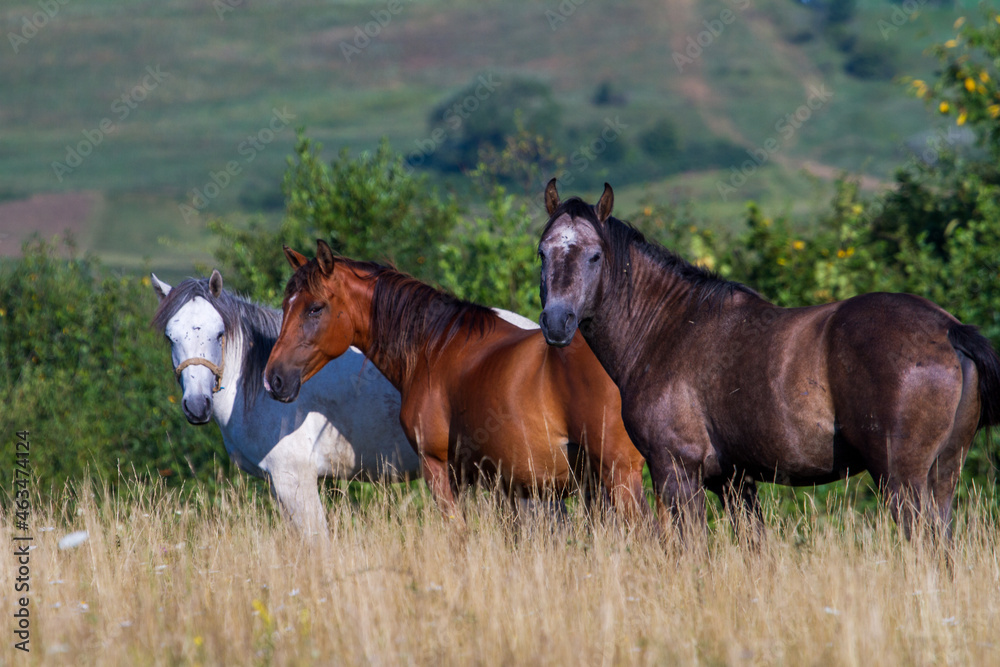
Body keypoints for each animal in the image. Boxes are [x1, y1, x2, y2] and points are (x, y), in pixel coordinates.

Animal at [262, 241, 652, 527]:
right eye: (286, 303)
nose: (274, 379)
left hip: (619, 474)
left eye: (315, 308)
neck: (434, 349)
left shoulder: (440, 468)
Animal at [537, 179, 1000, 540]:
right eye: (542, 252)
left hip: (902, 482)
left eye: (595, 255)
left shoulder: (676, 472)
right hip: (942, 476)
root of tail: (949, 330)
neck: (668, 329)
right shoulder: (734, 482)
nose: (557, 322)